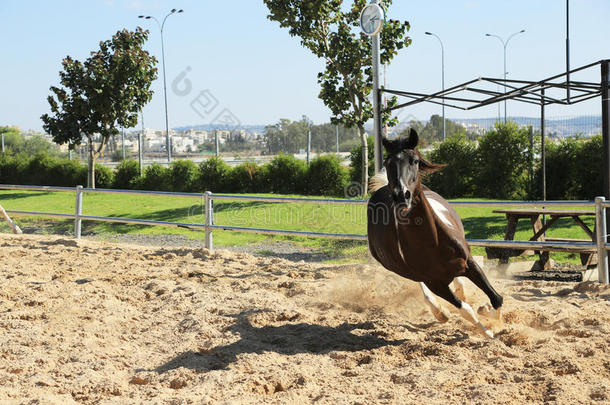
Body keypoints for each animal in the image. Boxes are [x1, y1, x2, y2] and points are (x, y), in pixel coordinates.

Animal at [366, 129, 498, 334]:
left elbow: (496, 298)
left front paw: (488, 312)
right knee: (425, 288)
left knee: (459, 281)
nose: (401, 195)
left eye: (414, 161)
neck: (433, 241)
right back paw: (439, 311)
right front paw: (488, 333)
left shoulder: (470, 264)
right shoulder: (435, 283)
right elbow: (465, 310)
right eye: (388, 163)